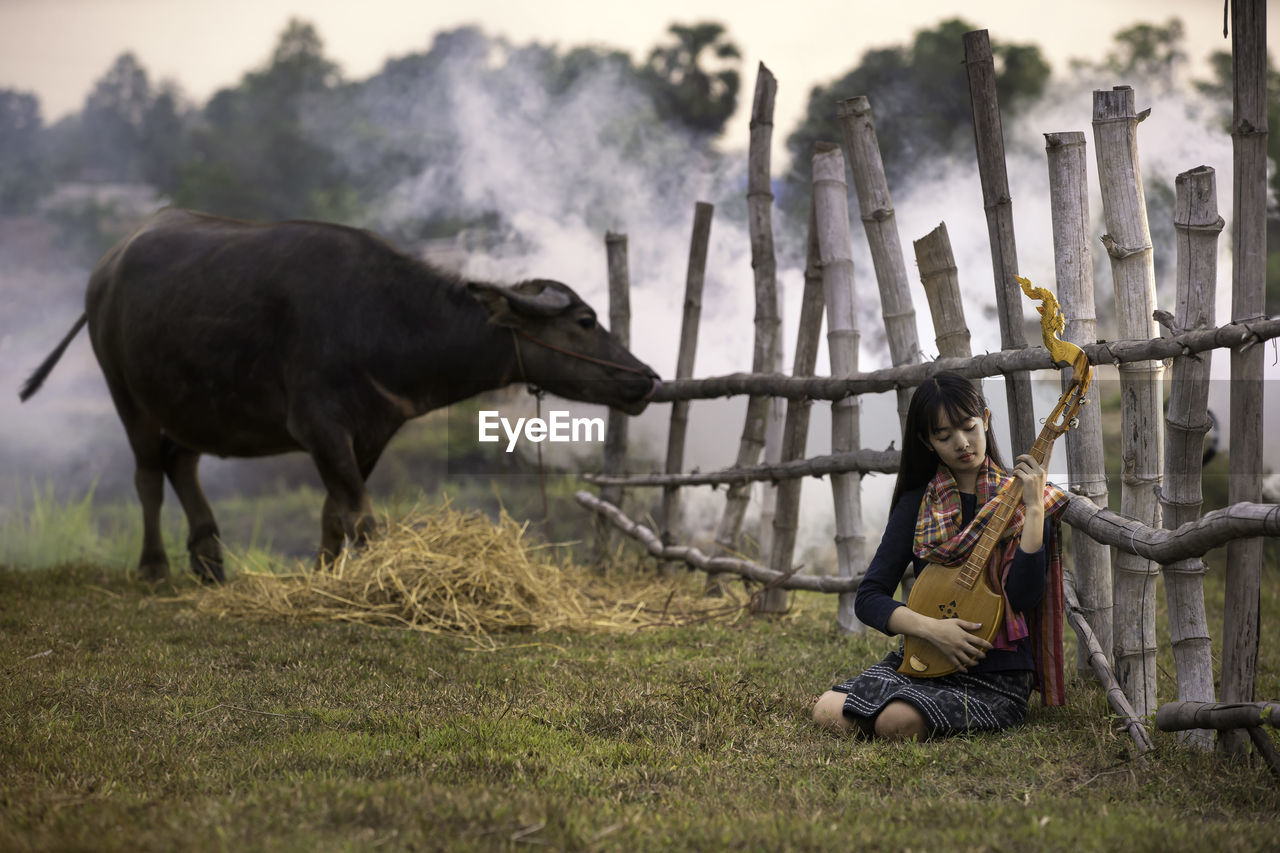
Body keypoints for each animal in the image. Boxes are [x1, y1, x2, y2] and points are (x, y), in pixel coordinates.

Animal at [22, 207, 660, 578]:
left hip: (193, 404)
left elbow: (337, 514)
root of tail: (105, 270)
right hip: (127, 396)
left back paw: (210, 562)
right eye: (584, 321)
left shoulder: (371, 430)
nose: (645, 378)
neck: (385, 320)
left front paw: (326, 577)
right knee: (148, 475)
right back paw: (155, 568)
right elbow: (364, 518)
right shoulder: (320, 427)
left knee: (182, 465)